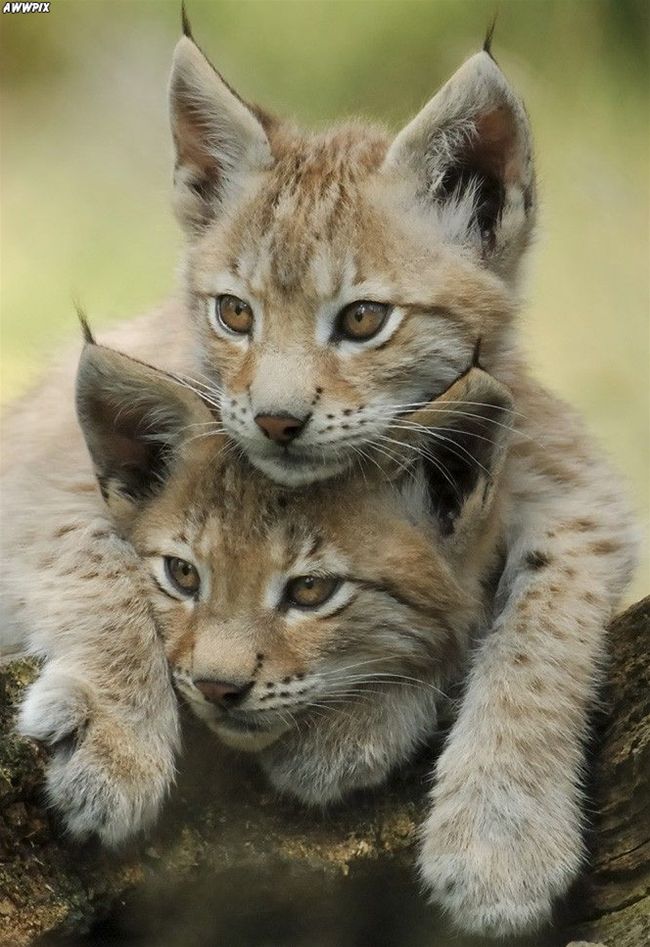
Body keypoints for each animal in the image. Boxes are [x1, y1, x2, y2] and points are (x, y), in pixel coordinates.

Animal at [0, 22, 636, 940]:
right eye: (234, 314)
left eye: (364, 320)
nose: (273, 420)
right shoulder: (37, 471)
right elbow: (98, 564)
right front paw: (114, 745)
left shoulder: (578, 487)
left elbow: (536, 629)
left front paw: (499, 838)